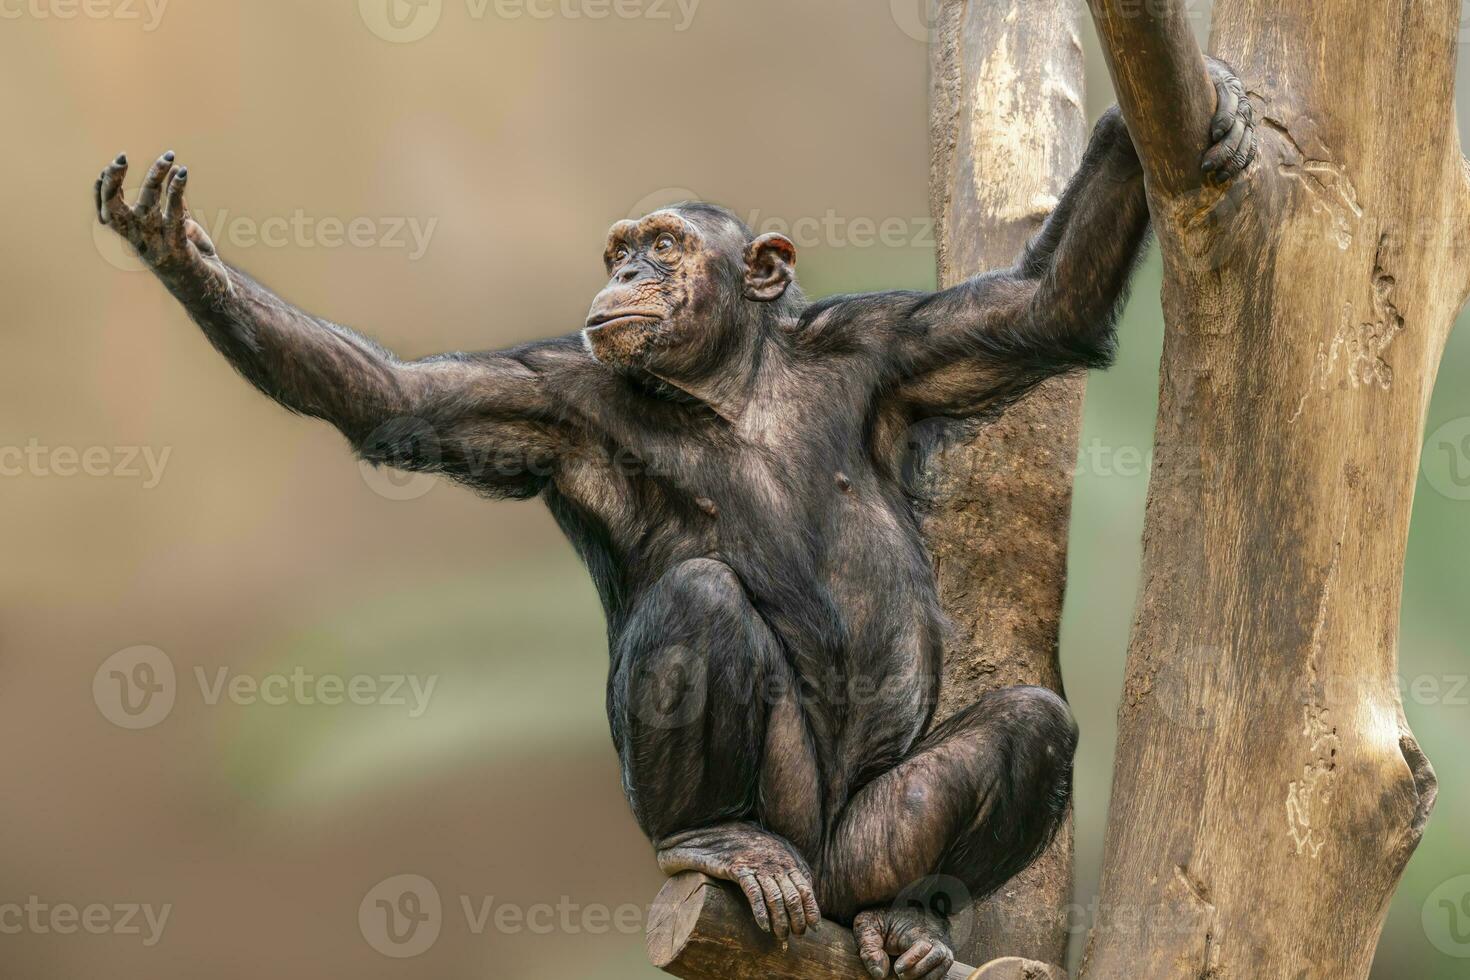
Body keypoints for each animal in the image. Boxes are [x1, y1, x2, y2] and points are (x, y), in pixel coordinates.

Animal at [97, 65, 1258, 975]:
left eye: (662, 243)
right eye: (622, 247)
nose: (624, 271)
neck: (729, 383)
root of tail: (818, 879)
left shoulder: (897, 345)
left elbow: (1040, 307)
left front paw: (1150, 118)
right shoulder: (552, 396)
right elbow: (396, 399)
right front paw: (179, 253)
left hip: (864, 841)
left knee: (1028, 726)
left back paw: (916, 917)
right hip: (771, 821)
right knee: (700, 604)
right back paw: (710, 842)